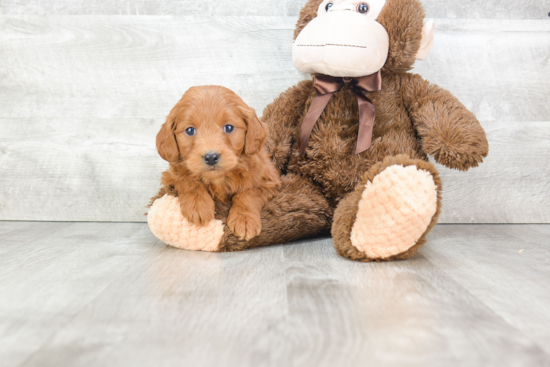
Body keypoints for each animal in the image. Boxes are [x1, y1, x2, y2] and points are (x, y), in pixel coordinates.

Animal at [157, 86, 282, 242]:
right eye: (190, 130)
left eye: (228, 128)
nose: (211, 157)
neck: (219, 178)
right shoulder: (170, 176)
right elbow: (188, 181)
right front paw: (198, 206)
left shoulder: (269, 182)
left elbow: (248, 194)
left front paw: (244, 219)